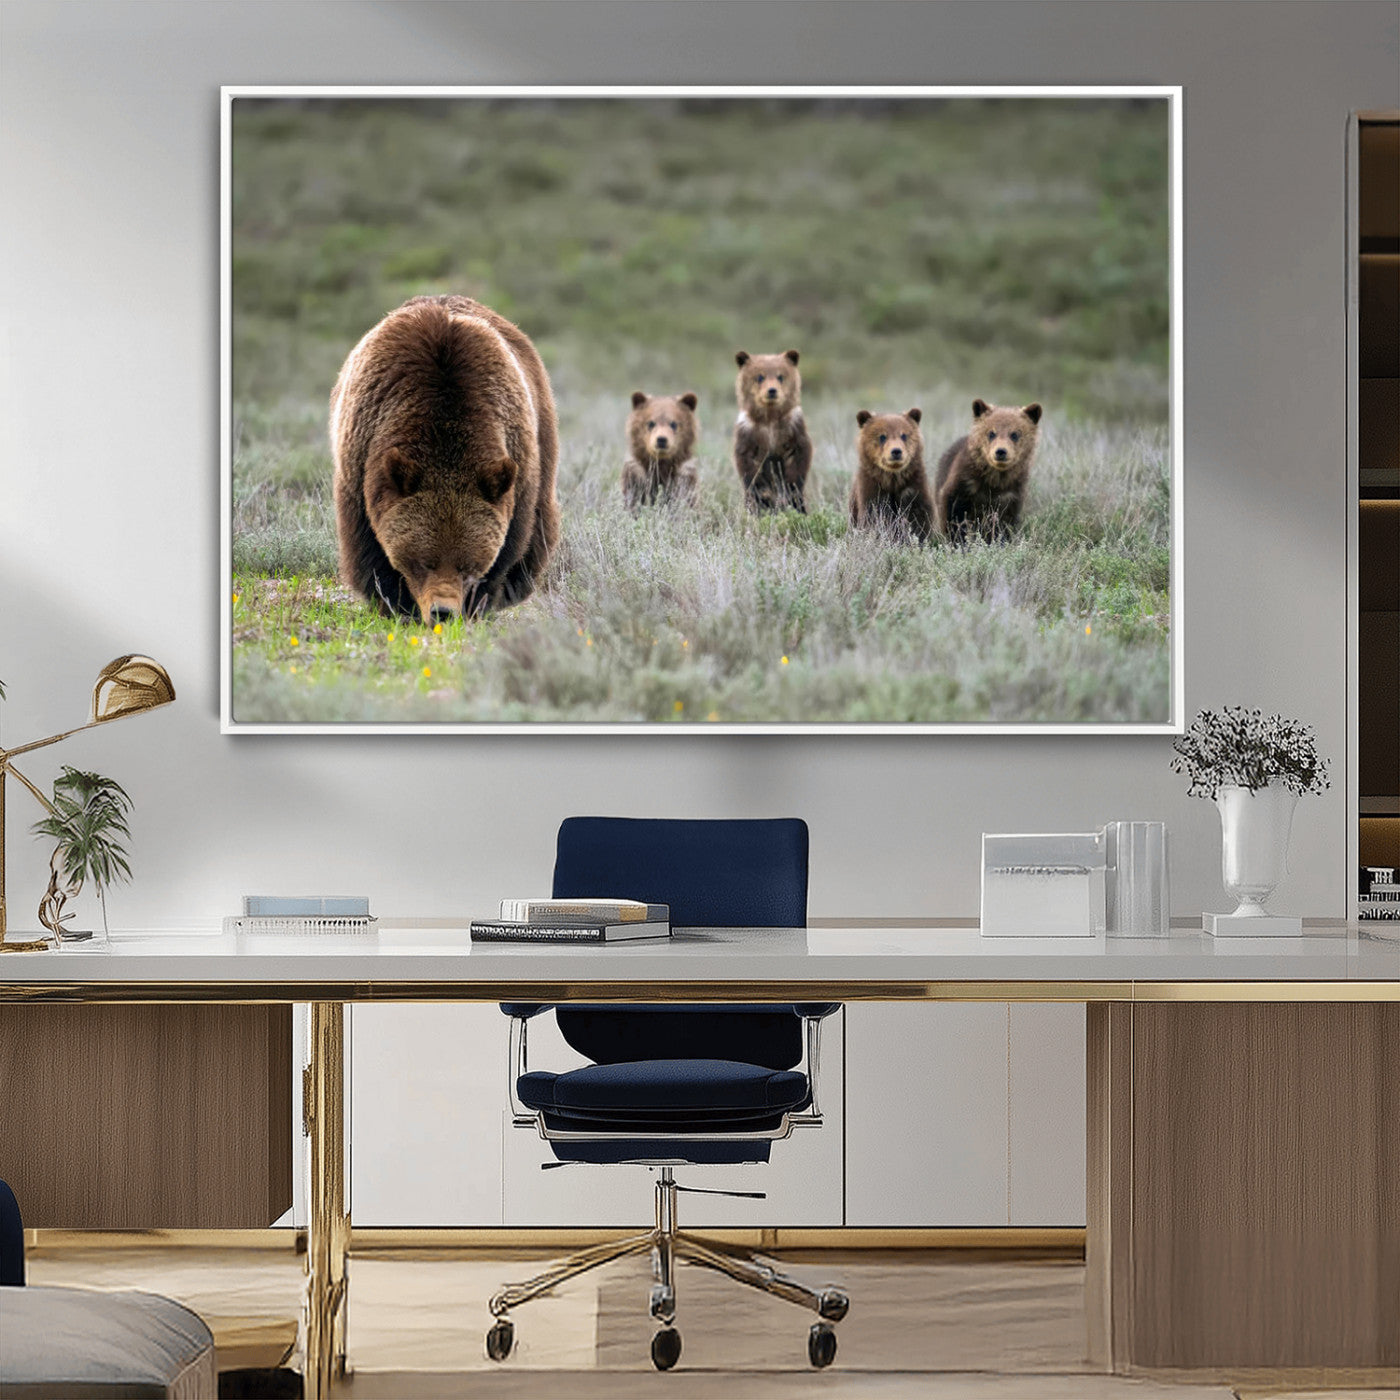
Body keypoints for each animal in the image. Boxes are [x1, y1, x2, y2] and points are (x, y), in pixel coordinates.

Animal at [330, 294, 561, 621]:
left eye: (468, 565)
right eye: (424, 561)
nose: (443, 611)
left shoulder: (517, 464)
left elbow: (511, 544)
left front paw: (478, 603)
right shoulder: (361, 461)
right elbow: (368, 547)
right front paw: (395, 603)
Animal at [732, 349, 812, 513]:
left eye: (780, 376)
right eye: (760, 376)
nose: (772, 390)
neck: (770, 420)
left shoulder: (793, 428)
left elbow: (798, 459)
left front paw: (789, 492)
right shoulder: (749, 432)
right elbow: (748, 465)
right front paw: (764, 496)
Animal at [849, 407, 934, 541]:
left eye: (903, 435)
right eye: (882, 436)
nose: (896, 451)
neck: (892, 479)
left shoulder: (913, 486)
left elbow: (918, 518)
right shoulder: (872, 489)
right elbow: (874, 516)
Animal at [934, 399, 1042, 543]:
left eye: (1014, 434)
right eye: (991, 433)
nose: (1001, 451)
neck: (994, 480)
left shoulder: (1011, 493)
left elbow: (1005, 523)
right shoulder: (964, 484)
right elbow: (953, 514)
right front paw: (957, 540)